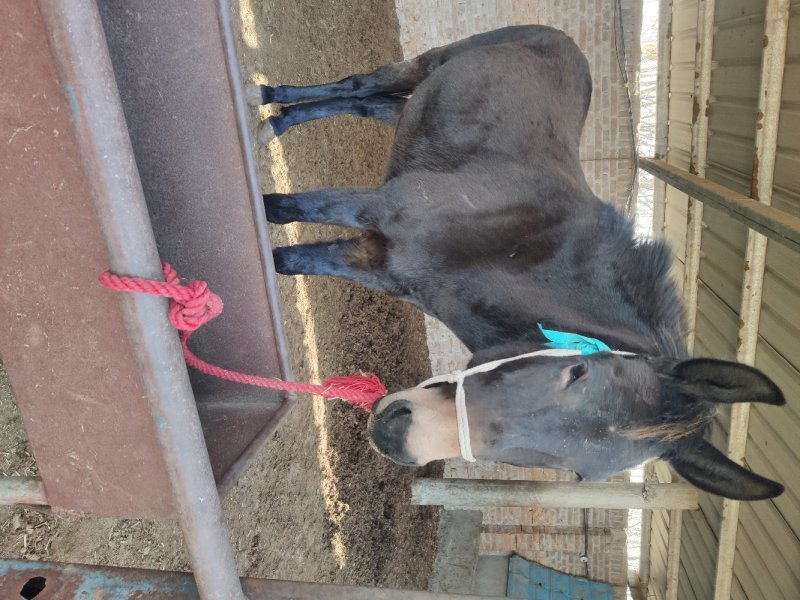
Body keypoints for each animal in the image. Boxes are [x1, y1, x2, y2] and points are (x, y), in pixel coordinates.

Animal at [248, 25, 785, 501]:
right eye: (578, 373)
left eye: (576, 473)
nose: (396, 435)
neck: (515, 253)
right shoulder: (375, 211)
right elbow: (279, 212)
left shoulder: (380, 266)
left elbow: (286, 261)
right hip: (432, 62)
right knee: (359, 85)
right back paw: (270, 105)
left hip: (415, 107)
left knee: (367, 103)